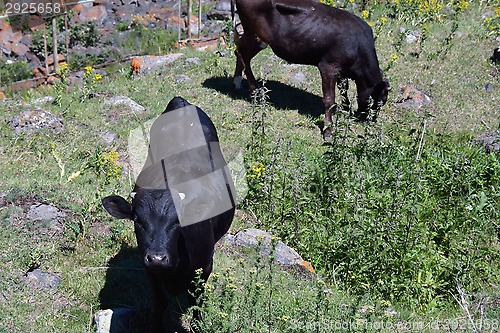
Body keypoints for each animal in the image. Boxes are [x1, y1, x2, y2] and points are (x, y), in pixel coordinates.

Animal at [102, 96, 235, 332]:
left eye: (178, 223)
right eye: (137, 220)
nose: (157, 258)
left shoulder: (205, 265)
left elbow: (196, 300)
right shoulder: (149, 270)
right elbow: (159, 301)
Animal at [230, 0, 390, 136]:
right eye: (379, 101)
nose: (371, 119)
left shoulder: (342, 69)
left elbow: (344, 90)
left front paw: (345, 109)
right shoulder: (329, 67)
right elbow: (329, 99)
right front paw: (328, 130)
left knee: (239, 50)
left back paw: (237, 82)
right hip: (256, 35)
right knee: (243, 54)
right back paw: (254, 91)